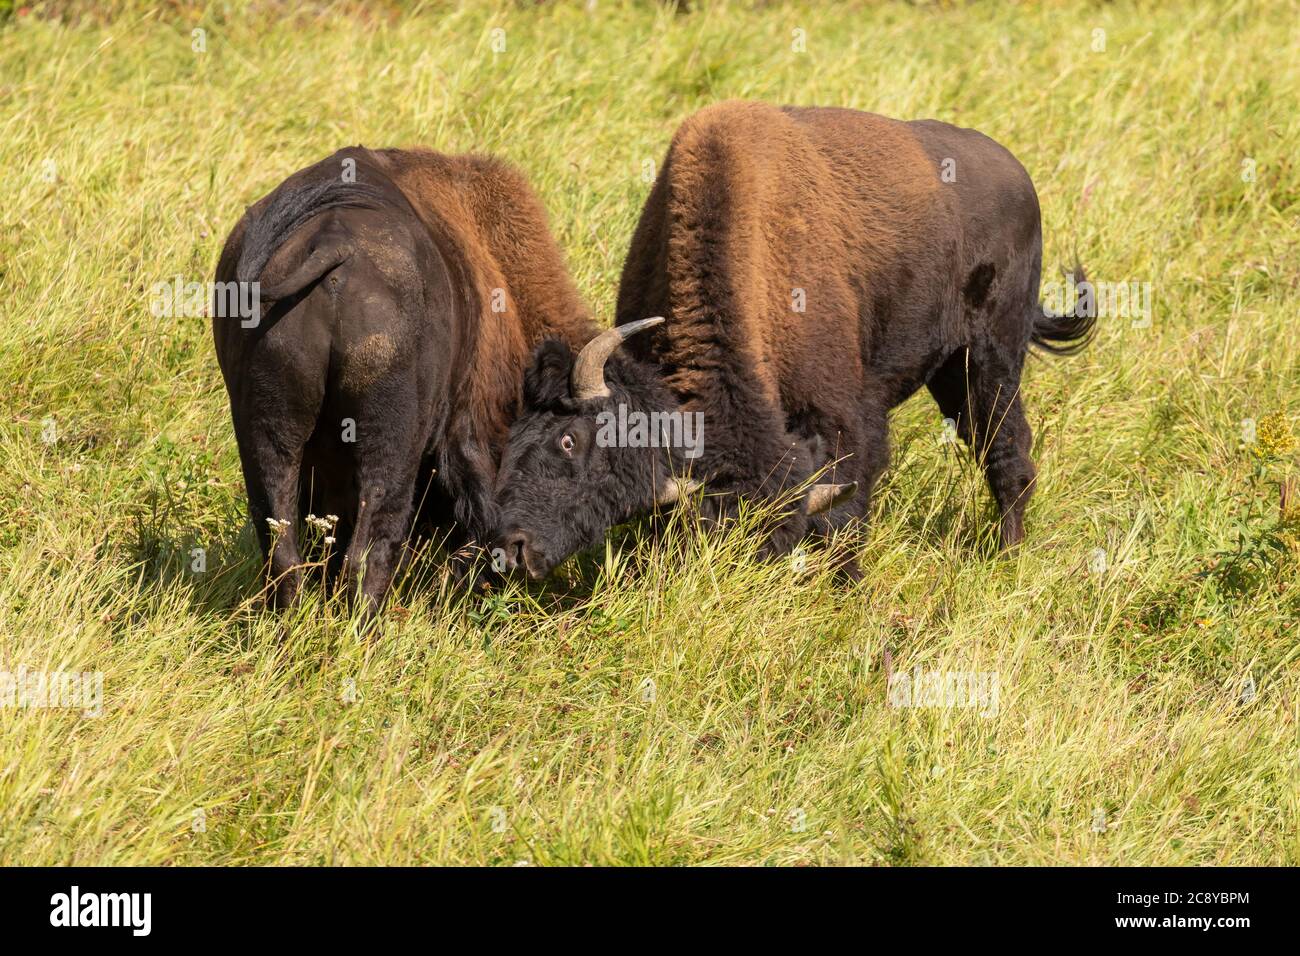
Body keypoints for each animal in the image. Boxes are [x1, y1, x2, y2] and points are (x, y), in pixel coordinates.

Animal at [214, 145, 598, 616]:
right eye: (570, 445)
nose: (529, 557)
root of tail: (332, 243)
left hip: (268, 435)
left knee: (284, 547)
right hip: (391, 445)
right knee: (370, 548)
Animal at [491, 102, 1092, 582]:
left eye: (572, 441)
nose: (517, 550)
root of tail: (1018, 176)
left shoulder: (846, 420)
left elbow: (845, 513)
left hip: (991, 357)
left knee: (1008, 455)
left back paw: (1005, 560)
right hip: (951, 373)